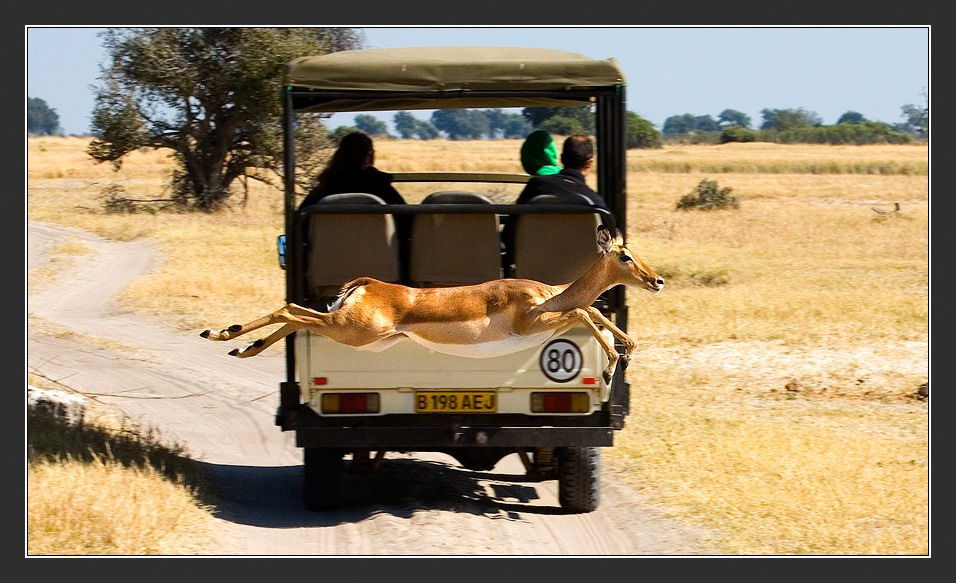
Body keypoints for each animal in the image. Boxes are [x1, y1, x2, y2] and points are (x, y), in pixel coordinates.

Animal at [201, 225, 664, 382]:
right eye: (625, 256)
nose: (657, 280)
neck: (549, 292)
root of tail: (368, 284)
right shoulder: (534, 321)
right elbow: (587, 310)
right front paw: (610, 366)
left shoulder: (553, 320)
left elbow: (594, 312)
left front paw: (623, 354)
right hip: (349, 330)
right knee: (288, 311)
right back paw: (224, 335)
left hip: (347, 327)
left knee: (295, 315)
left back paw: (236, 343)